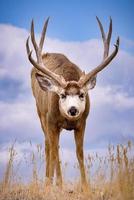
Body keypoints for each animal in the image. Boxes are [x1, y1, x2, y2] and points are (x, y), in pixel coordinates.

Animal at [25, 17, 119, 191]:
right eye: (62, 95)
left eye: (82, 95)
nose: (73, 109)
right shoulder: (51, 121)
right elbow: (54, 151)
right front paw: (57, 186)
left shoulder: (82, 123)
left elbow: (79, 153)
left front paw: (85, 187)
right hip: (41, 114)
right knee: (49, 146)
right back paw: (50, 182)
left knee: (54, 146)